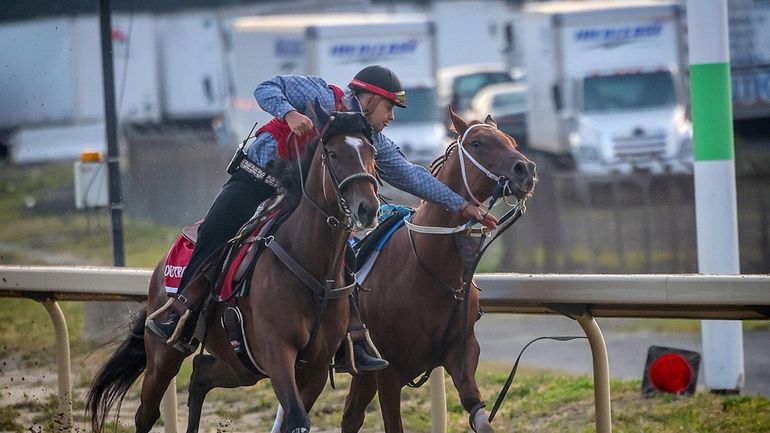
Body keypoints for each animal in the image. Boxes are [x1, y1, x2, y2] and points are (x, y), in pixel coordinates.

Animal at [85, 104, 380, 432]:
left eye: (371, 151)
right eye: (333, 153)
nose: (368, 208)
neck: (311, 266)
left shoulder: (314, 367)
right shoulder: (277, 353)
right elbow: (296, 418)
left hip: (241, 365)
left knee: (200, 374)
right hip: (164, 355)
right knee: (146, 412)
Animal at [340, 107, 536, 432]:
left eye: (512, 141)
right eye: (477, 143)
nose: (526, 170)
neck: (427, 267)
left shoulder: (462, 351)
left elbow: (477, 410)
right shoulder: (388, 371)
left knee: (351, 414)